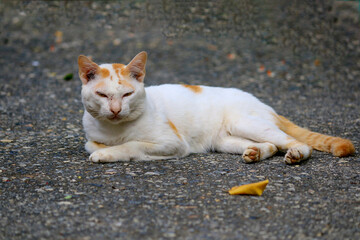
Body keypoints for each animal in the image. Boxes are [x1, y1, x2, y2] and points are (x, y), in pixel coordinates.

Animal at [77, 51, 356, 164]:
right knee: (272, 145)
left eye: (127, 94)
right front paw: (104, 150)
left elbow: (132, 145)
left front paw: (108, 154)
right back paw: (256, 153)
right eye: (102, 95)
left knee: (295, 143)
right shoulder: (91, 137)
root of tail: (263, 103)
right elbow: (93, 144)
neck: (115, 130)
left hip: (244, 122)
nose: (115, 110)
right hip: (225, 140)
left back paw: (296, 155)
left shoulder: (173, 143)